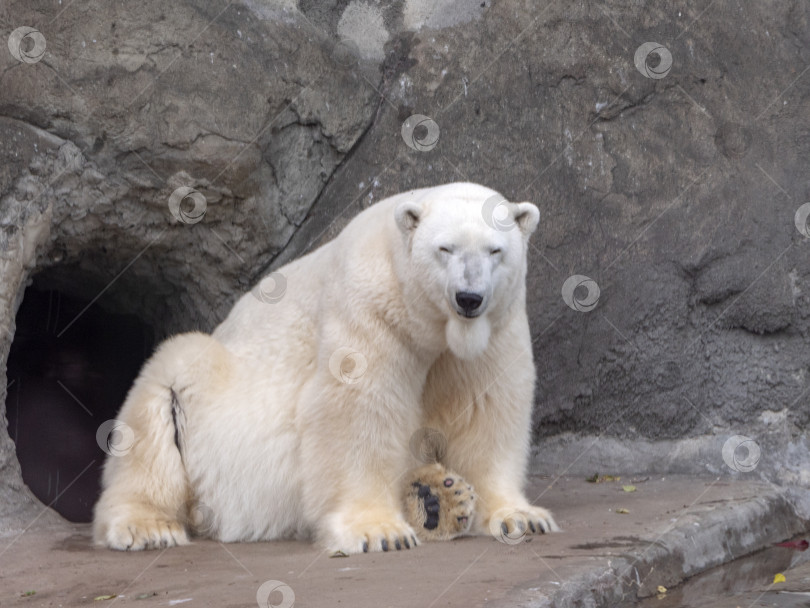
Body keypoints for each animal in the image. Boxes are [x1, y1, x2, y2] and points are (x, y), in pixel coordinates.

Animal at [93, 180, 556, 552]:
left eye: (495, 251)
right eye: (445, 249)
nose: (468, 298)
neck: (426, 321)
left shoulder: (495, 328)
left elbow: (486, 409)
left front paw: (521, 516)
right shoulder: (368, 307)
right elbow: (356, 409)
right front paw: (379, 531)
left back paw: (436, 499)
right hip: (199, 392)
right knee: (158, 405)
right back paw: (147, 526)